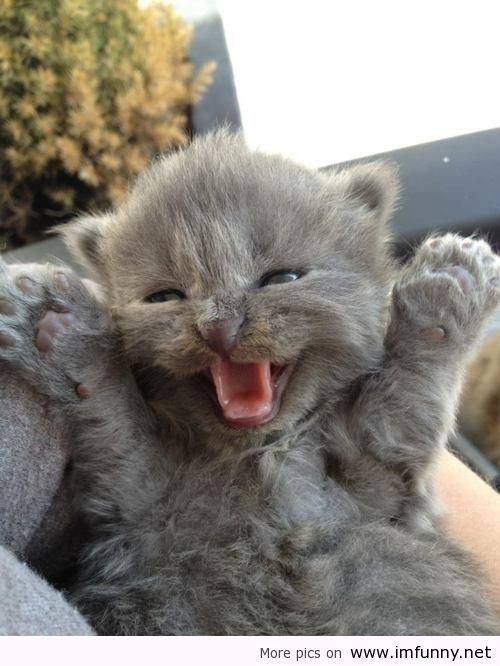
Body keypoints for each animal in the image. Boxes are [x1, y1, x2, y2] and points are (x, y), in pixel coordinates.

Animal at [0, 130, 499, 635]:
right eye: (165, 296)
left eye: (282, 277)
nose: (219, 326)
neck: (256, 456)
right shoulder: (136, 507)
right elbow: (118, 429)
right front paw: (65, 337)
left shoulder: (385, 496)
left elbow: (403, 409)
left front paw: (443, 297)